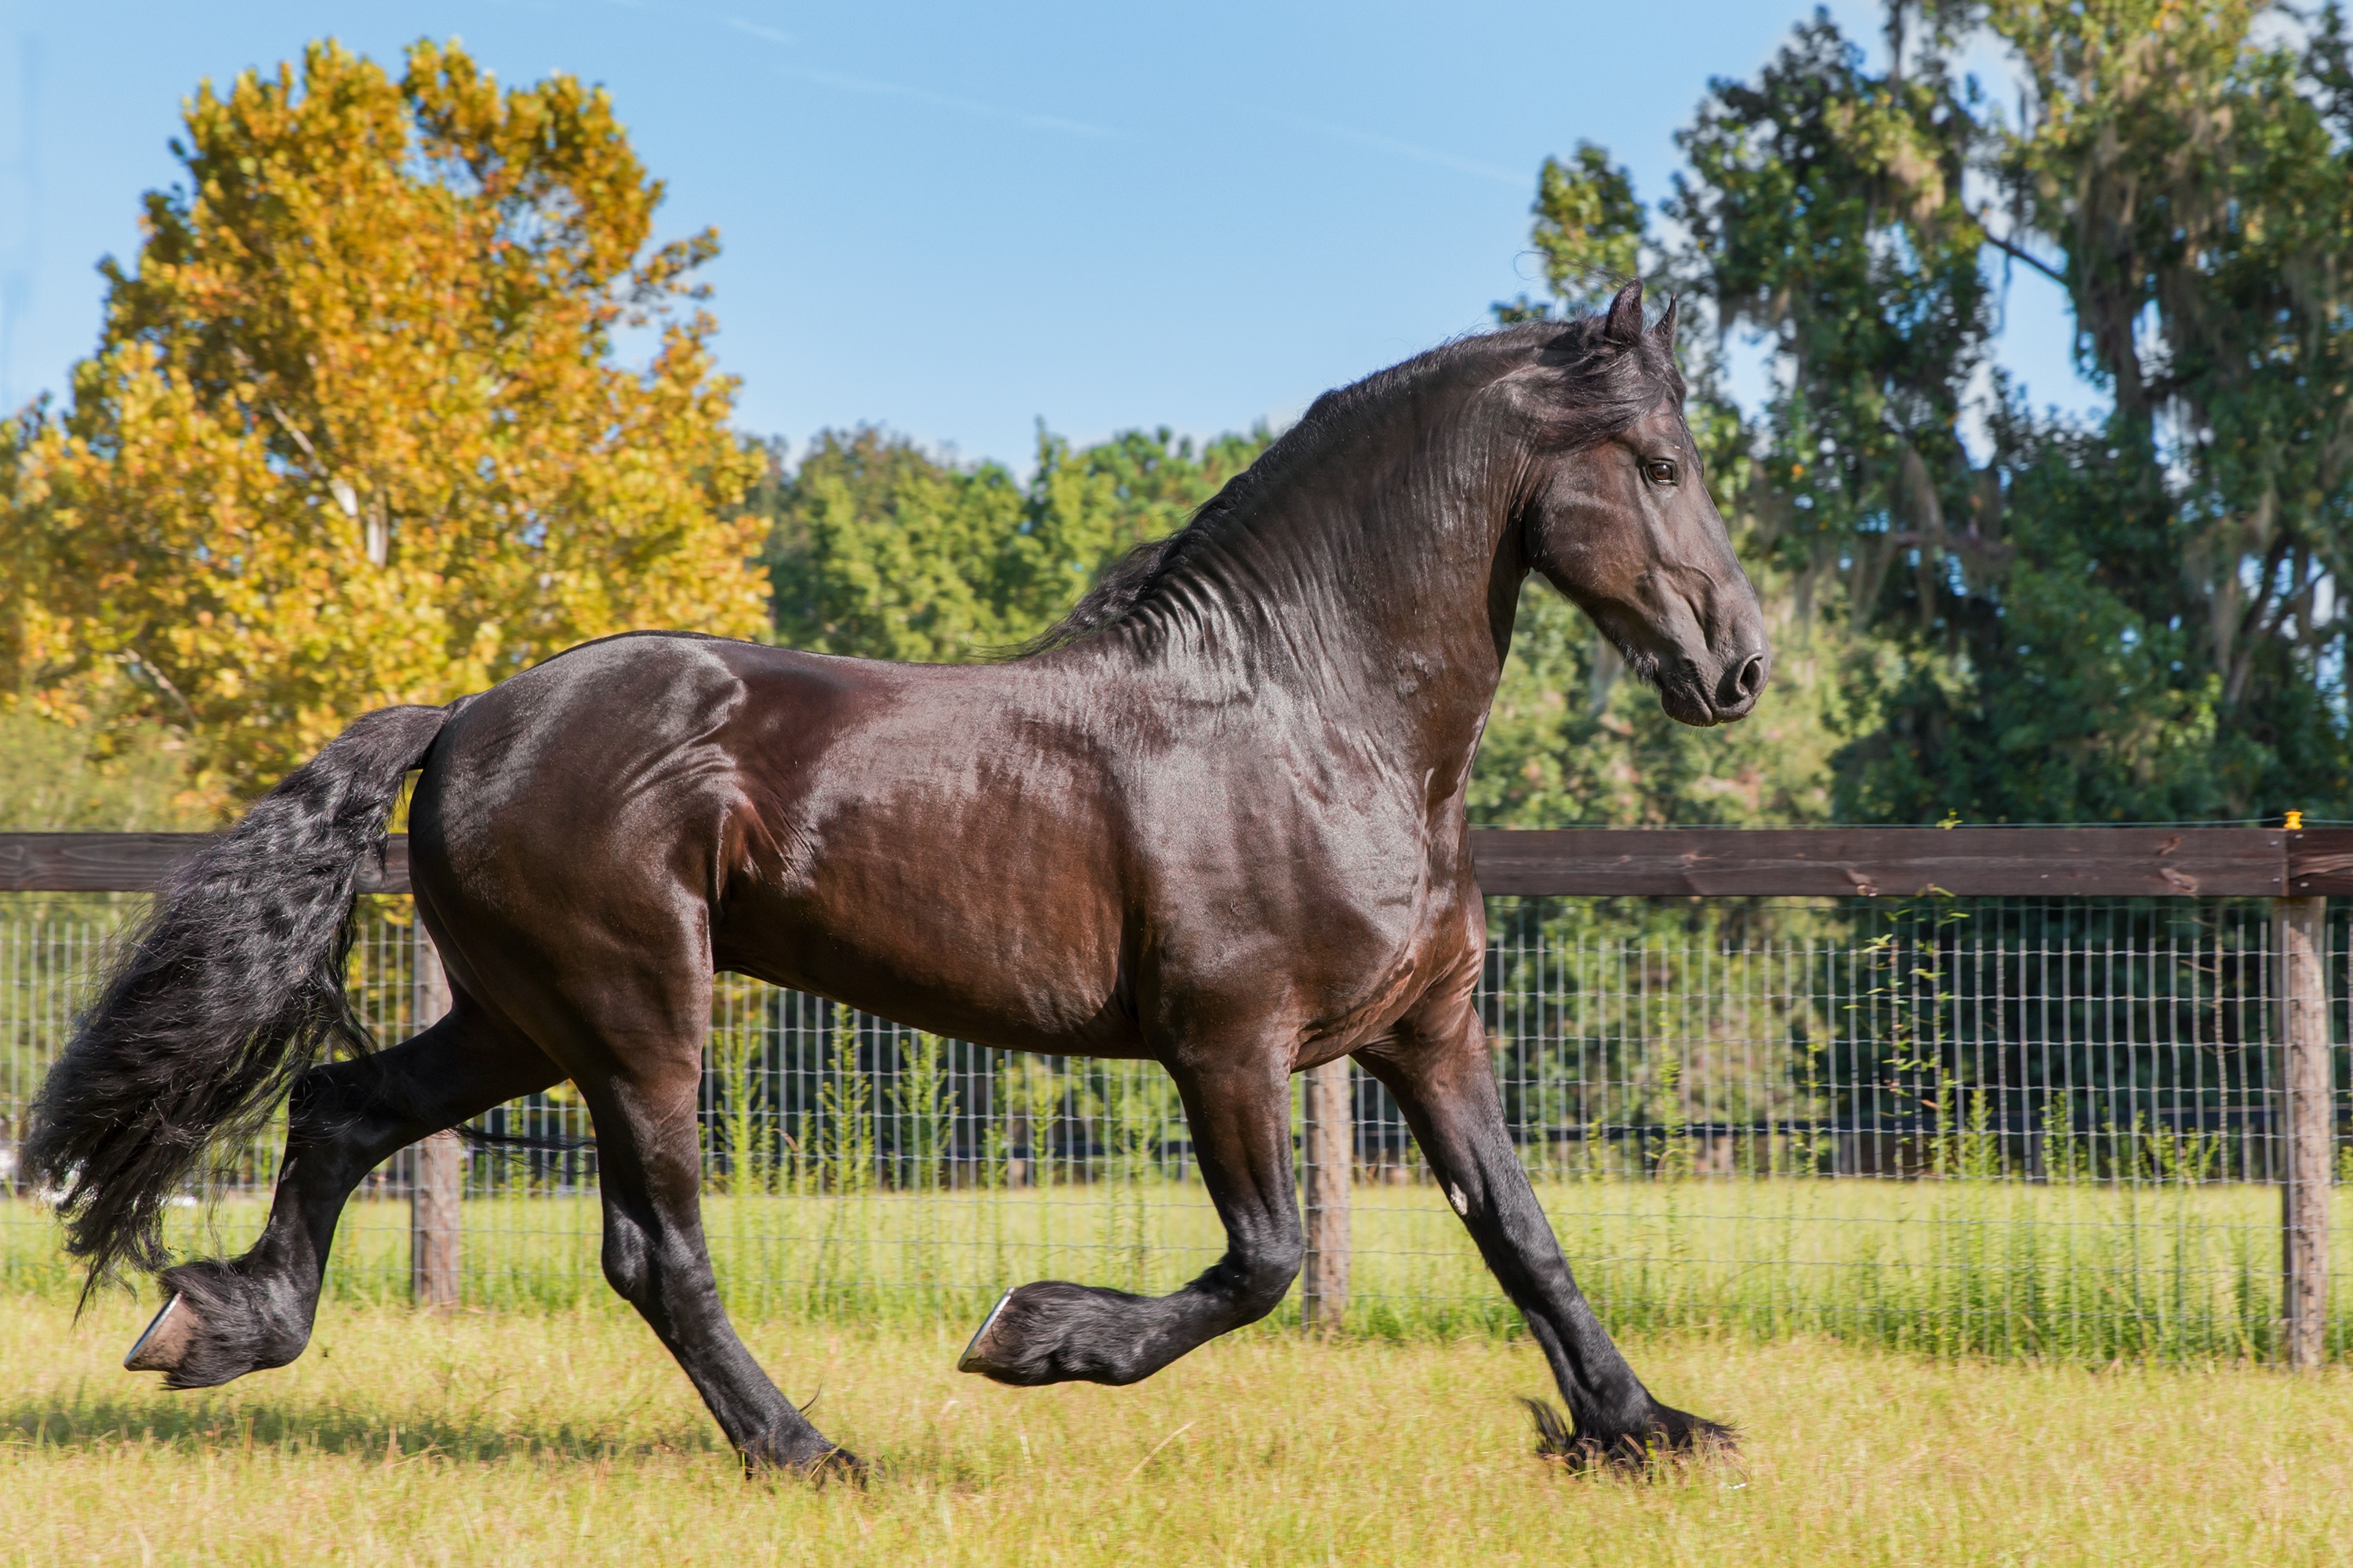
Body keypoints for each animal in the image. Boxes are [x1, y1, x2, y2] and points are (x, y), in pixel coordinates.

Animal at [29, 281, 1767, 1477]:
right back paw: (806, 1450)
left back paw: (215, 1326)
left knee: (338, 1109)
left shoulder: (1428, 1035)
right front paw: (1034, 1337)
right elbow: (1268, 1259)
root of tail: (464, 716)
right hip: (636, 1015)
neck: (1305, 713)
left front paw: (1649, 1429)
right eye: (1660, 463)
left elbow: (1520, 1232)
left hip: (523, 1019)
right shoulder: (1228, 1042)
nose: (1738, 669)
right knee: (650, 1249)